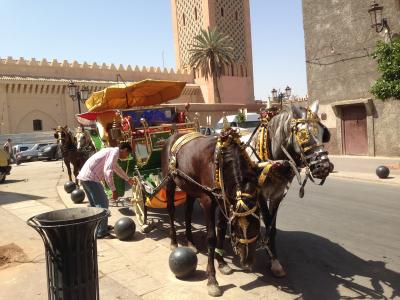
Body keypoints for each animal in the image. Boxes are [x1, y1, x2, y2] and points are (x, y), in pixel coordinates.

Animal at [161, 129, 260, 298]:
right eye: (238, 228)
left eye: (257, 224)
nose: (247, 262)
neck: (221, 164)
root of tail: (173, 135)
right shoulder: (207, 202)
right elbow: (211, 238)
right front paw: (212, 280)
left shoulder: (224, 200)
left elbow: (221, 229)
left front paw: (222, 263)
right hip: (170, 182)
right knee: (171, 211)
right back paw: (174, 241)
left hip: (190, 187)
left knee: (188, 214)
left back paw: (191, 242)